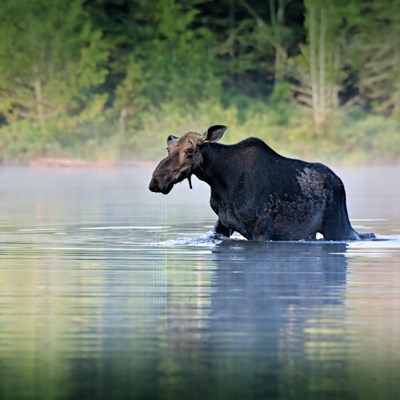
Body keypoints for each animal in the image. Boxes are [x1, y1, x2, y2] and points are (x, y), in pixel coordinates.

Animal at [149, 125, 376, 241]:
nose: (155, 181)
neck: (220, 181)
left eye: (190, 151)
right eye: (168, 149)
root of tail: (340, 183)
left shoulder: (261, 230)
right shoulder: (223, 224)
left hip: (337, 225)